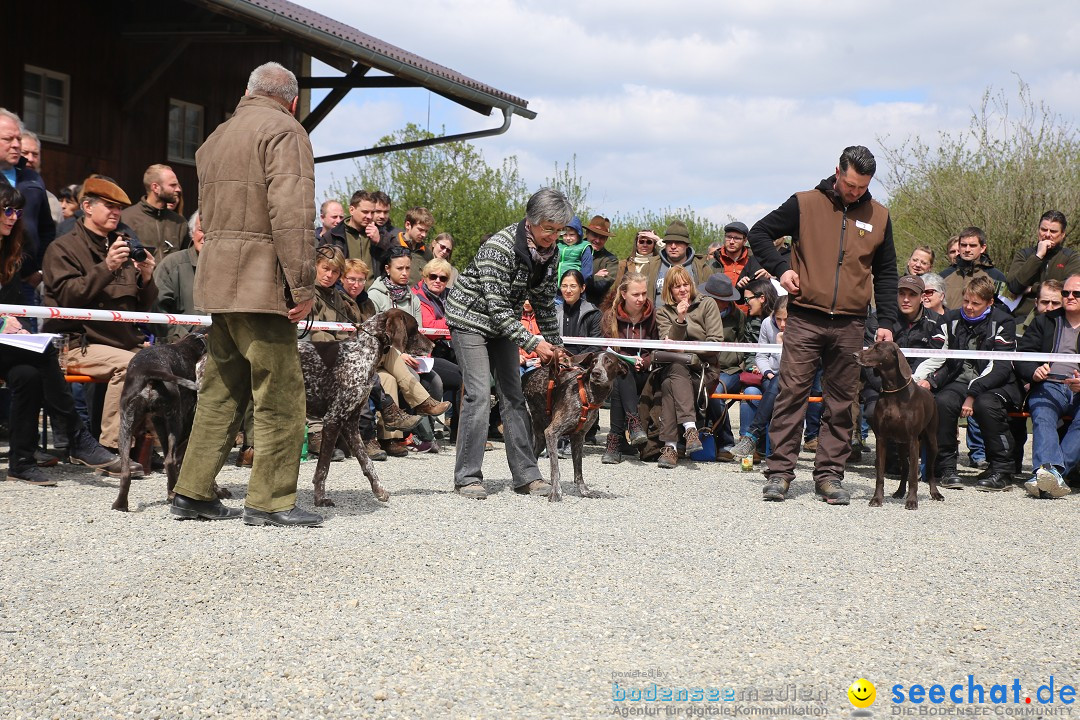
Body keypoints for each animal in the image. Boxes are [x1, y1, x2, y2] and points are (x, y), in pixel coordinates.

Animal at [112, 334, 230, 509]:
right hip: (175, 422)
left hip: (127, 426)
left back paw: (121, 504)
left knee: (126, 471)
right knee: (170, 461)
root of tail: (150, 370)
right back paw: (173, 494)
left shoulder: (160, 422)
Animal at [300, 308, 434, 507]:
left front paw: (379, 491)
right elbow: (323, 467)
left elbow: (366, 461)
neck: (361, 352)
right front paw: (320, 498)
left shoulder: (350, 423)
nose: (433, 345)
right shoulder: (333, 420)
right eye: (415, 327)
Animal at [520, 347, 626, 500]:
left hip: (540, 436)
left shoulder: (578, 437)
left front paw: (584, 491)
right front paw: (556, 492)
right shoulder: (552, 432)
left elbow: (578, 470)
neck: (588, 394)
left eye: (609, 362)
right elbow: (555, 468)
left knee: (533, 457)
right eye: (593, 362)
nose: (596, 372)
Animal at [855, 341, 941, 509]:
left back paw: (935, 493)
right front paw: (877, 499)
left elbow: (913, 476)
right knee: (905, 468)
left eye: (877, 348)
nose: (855, 355)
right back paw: (900, 492)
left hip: (931, 440)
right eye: (871, 345)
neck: (893, 390)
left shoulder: (913, 440)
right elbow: (880, 475)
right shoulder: (881, 439)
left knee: (930, 469)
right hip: (901, 445)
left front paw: (912, 501)